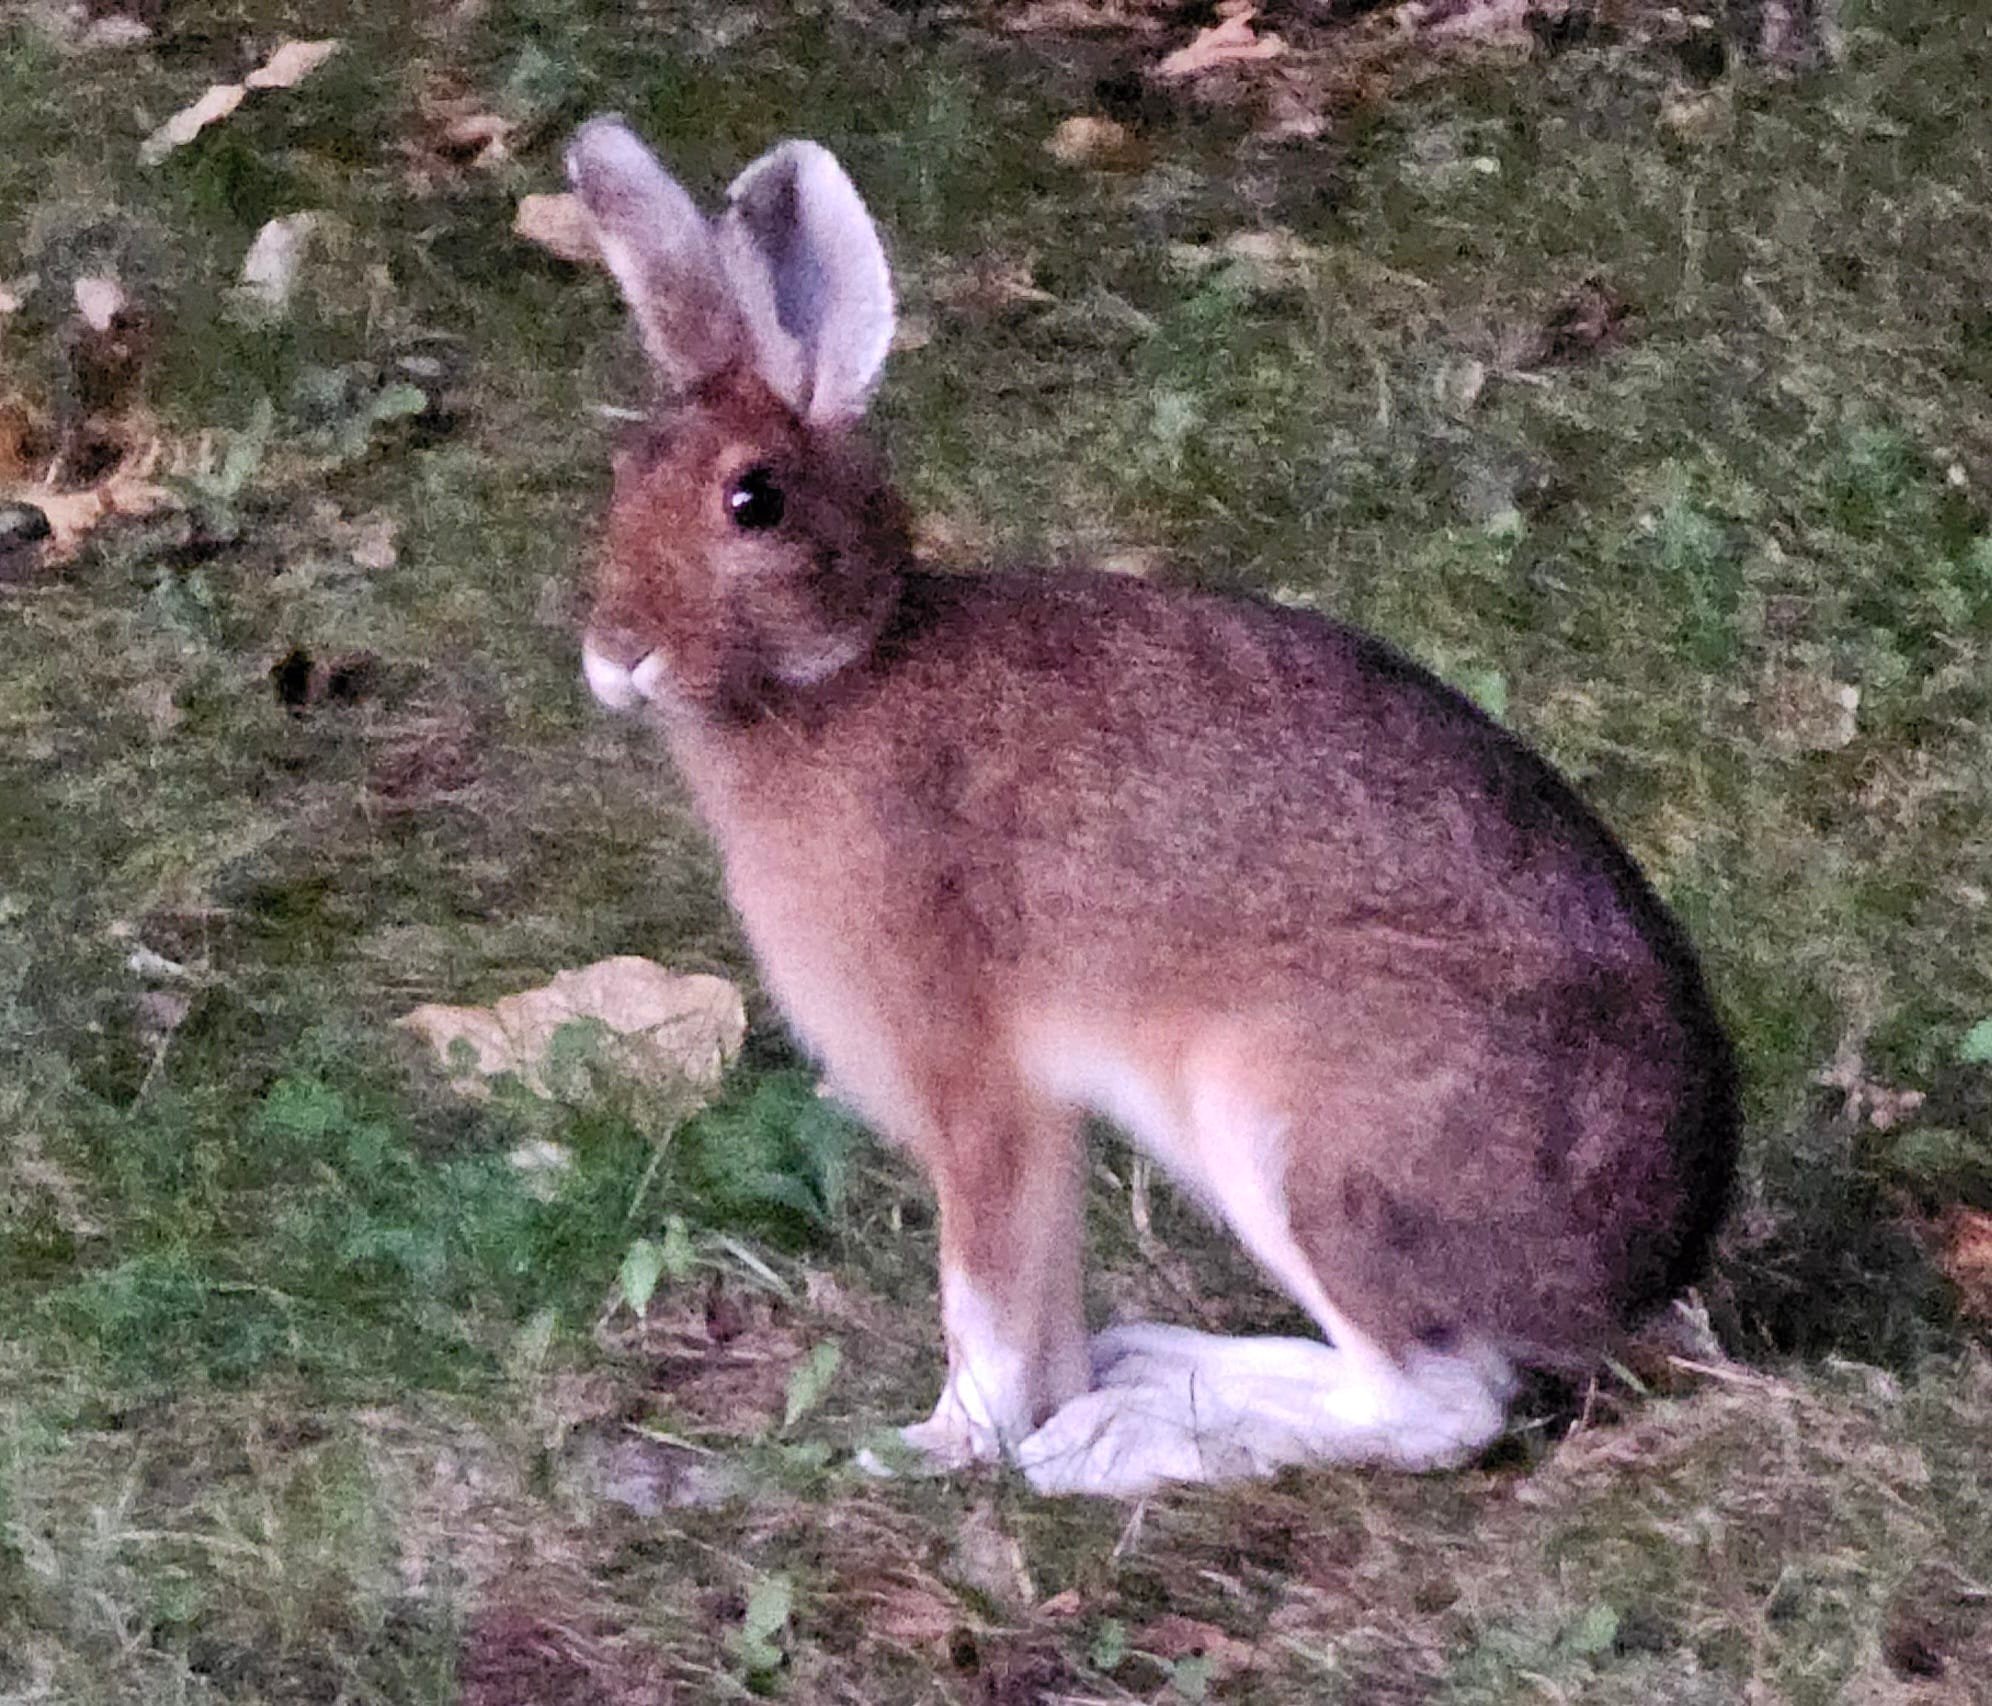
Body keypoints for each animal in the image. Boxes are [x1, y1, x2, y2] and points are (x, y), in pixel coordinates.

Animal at [564, 116, 1739, 1496]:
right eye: (622, 478)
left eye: (754, 500)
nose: (615, 654)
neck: (851, 668)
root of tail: (1639, 1271)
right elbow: (1043, 1290)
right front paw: (1028, 1408)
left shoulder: (975, 1078)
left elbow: (983, 1290)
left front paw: (941, 1444)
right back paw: (1148, 1374)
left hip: (1286, 1123)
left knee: (1440, 1401)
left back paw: (1122, 1443)